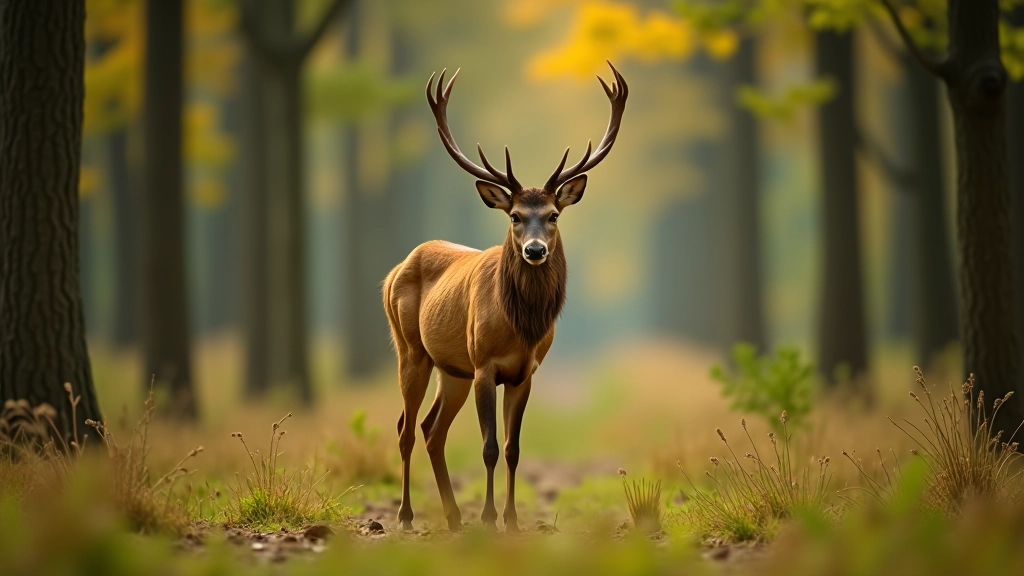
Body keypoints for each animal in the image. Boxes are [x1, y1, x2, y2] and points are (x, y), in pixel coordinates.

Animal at [382, 61, 628, 533]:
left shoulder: (524, 372)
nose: (535, 250)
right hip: (411, 349)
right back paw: (405, 516)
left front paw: (511, 520)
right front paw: (489, 518)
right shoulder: (484, 365)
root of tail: (392, 272)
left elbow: (513, 449)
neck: (521, 328)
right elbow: (489, 447)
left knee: (431, 429)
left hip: (452, 369)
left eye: (553, 215)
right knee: (405, 427)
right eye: (514, 216)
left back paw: (453, 516)